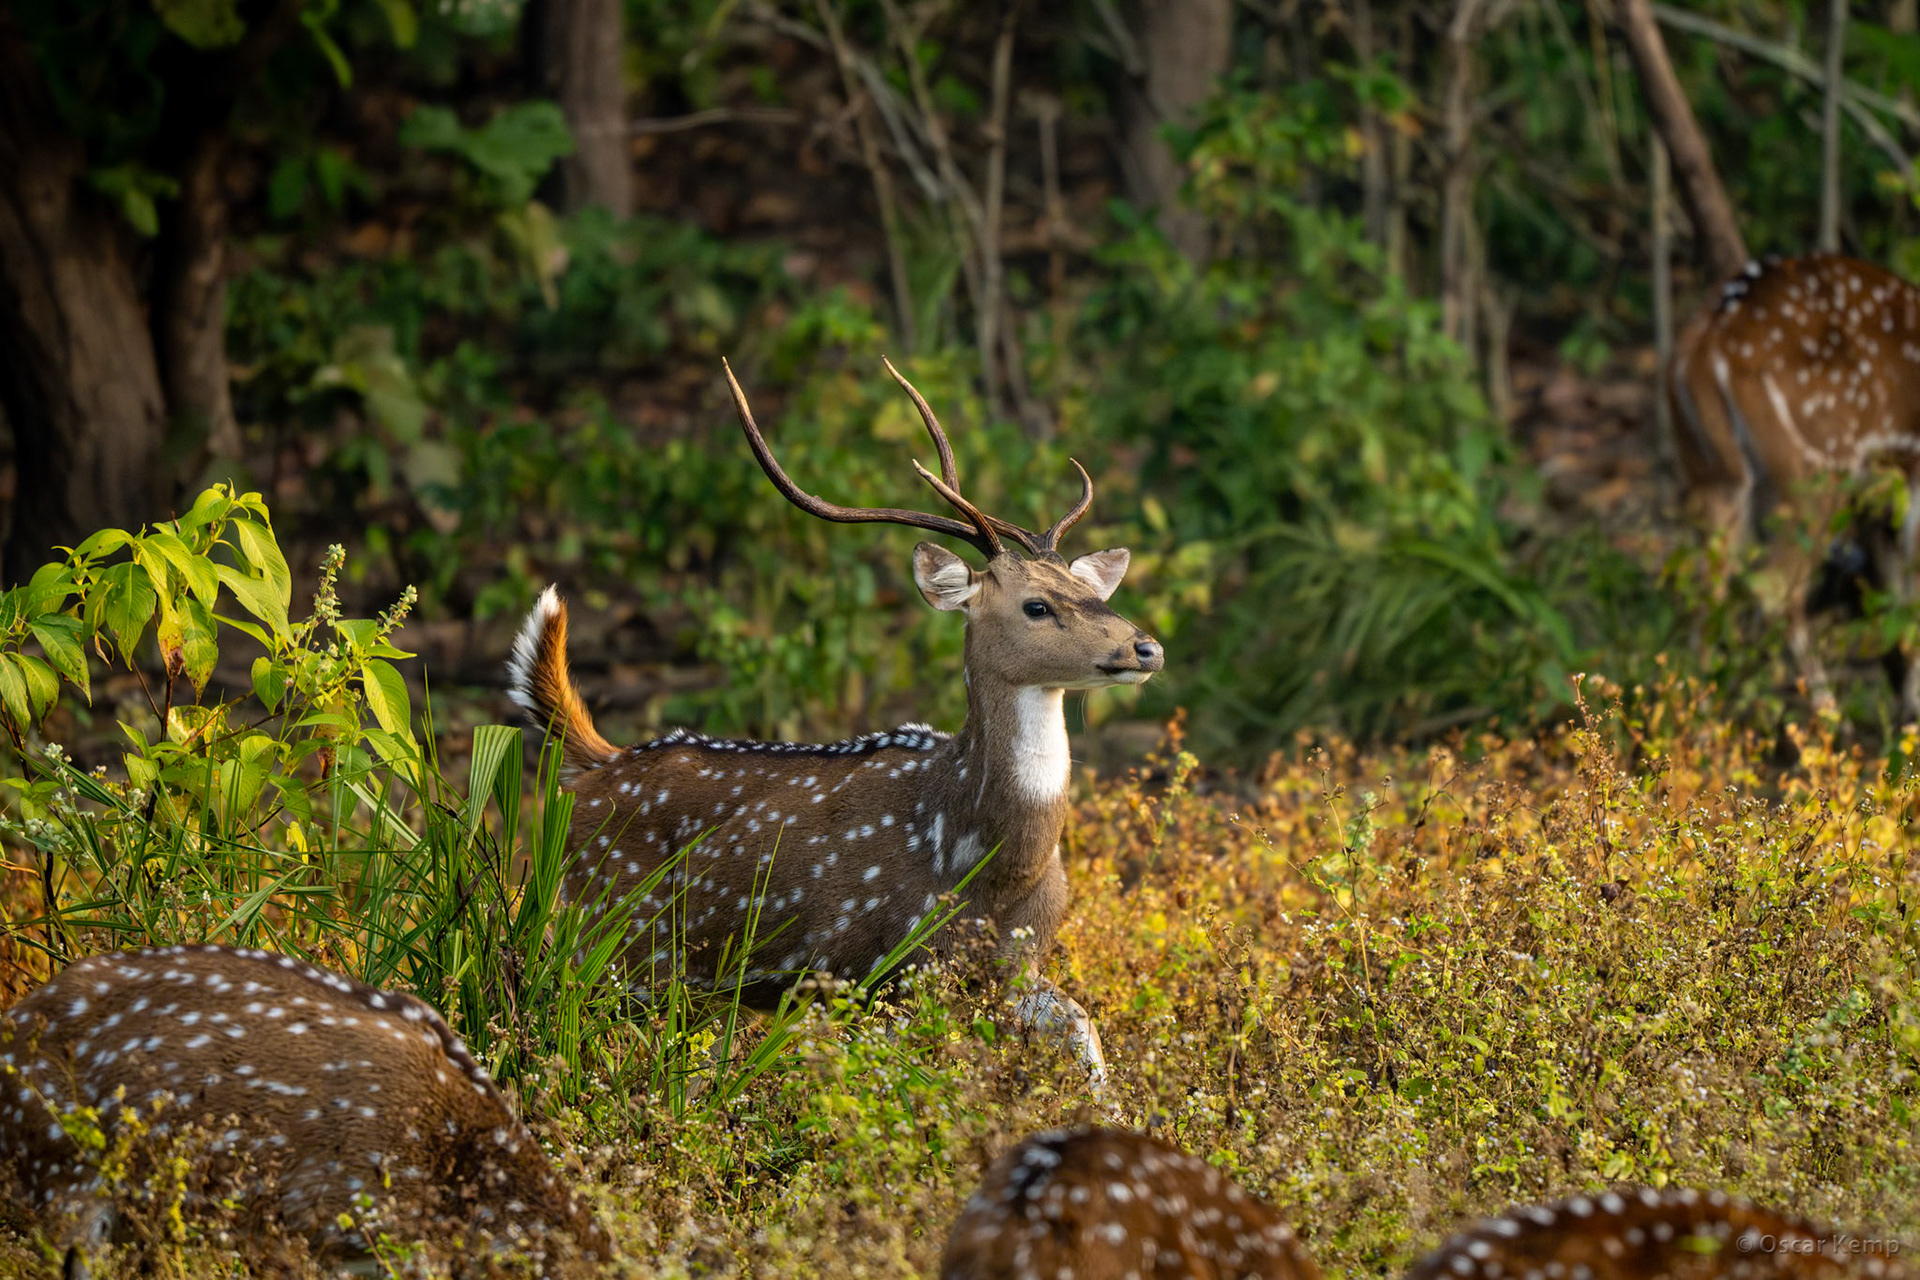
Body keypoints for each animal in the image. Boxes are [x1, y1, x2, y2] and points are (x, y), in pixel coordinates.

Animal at [506, 358, 1163, 1084]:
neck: (980, 862)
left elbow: (1082, 1026)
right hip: (608, 933)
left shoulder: (1015, 965)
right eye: (1037, 606)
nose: (1145, 648)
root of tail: (600, 763)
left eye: (1091, 591)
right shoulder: (863, 966)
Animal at [1668, 253, 1920, 720]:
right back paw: (1823, 711)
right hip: (1818, 466)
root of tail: (1705, 345)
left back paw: (1702, 711)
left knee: (1708, 585)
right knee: (1775, 588)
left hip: (1711, 470)